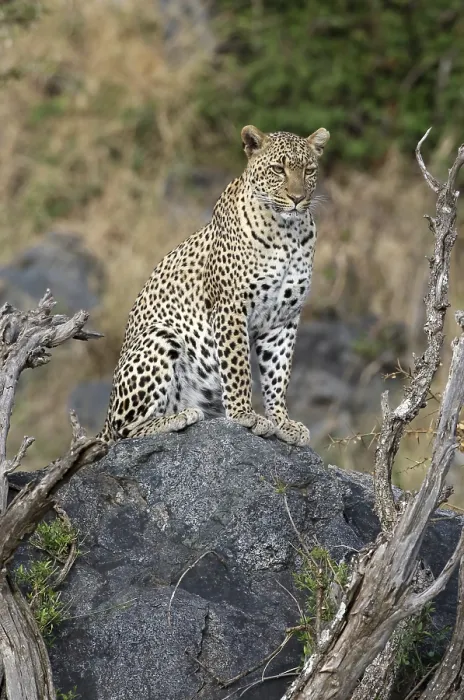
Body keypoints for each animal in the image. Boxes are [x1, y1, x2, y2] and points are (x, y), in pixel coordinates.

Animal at [97, 124, 330, 447]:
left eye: (309, 170)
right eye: (278, 169)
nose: (297, 198)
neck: (288, 233)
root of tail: (103, 423)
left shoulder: (284, 319)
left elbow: (278, 374)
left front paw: (283, 422)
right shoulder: (231, 307)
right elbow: (238, 366)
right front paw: (245, 415)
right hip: (161, 335)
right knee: (125, 430)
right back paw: (180, 416)